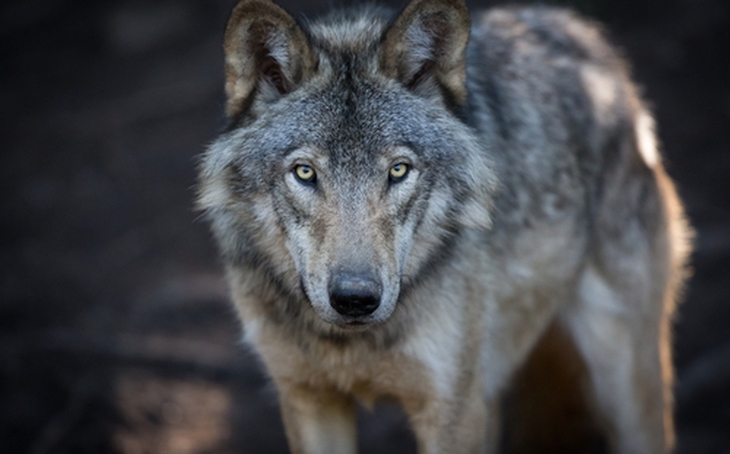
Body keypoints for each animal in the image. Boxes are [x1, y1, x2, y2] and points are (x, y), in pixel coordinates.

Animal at [196, 0, 692, 452]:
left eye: (398, 171)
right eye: (304, 172)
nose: (355, 299)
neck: (351, 343)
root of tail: (583, 36)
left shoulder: (452, 410)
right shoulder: (308, 399)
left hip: (623, 384)